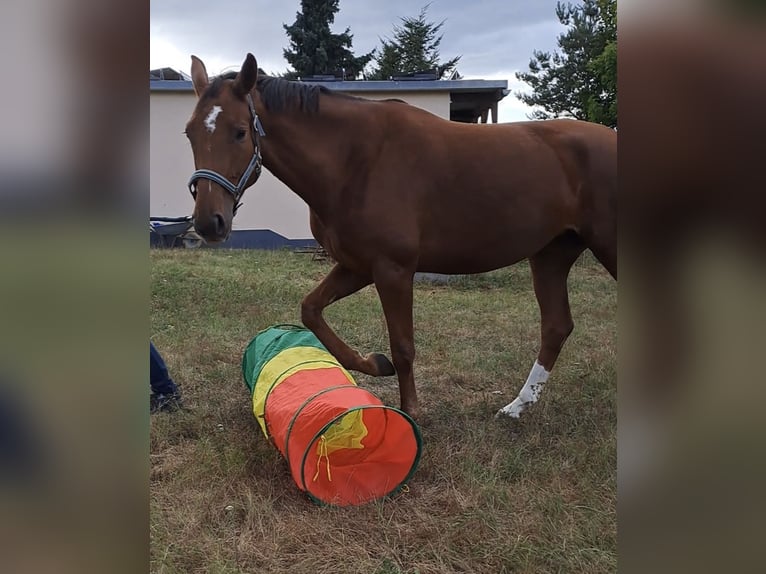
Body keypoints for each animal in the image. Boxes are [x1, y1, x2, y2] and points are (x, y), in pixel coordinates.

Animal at [184, 53, 617, 421]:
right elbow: (311, 311)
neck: (355, 160)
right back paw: (516, 407)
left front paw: (411, 413)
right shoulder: (358, 266)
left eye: (240, 132)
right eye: (189, 133)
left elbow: (403, 345)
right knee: (556, 327)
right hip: (550, 255)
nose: (209, 223)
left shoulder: (393, 270)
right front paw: (374, 364)